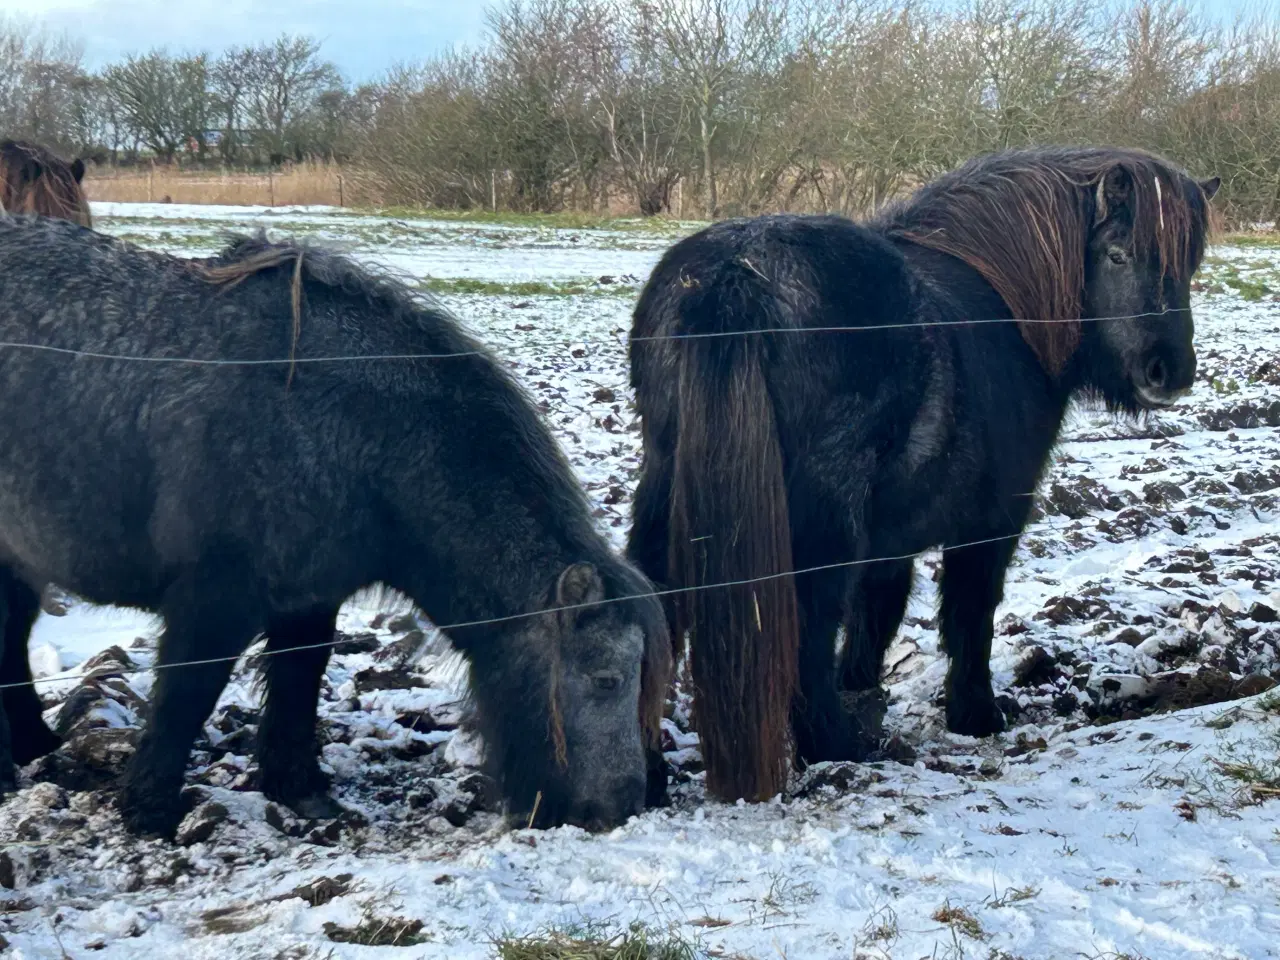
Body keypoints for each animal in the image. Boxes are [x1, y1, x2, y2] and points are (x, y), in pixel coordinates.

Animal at [0, 220, 675, 839]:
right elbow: (188, 694)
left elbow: (299, 684)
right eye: (607, 679)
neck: (357, 431)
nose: (623, 808)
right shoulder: (214, 599)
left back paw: (36, 748)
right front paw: (150, 811)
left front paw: (300, 790)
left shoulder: (308, 599)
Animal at [629, 144, 1218, 803]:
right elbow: (970, 614)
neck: (1007, 308)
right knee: (806, 630)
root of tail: (736, 274)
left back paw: (649, 776)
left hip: (666, 493)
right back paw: (838, 748)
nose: (1170, 371)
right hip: (820, 524)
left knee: (653, 609)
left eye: (1189, 265)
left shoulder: (890, 542)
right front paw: (977, 714)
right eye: (1119, 254)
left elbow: (875, 620)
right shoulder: (992, 523)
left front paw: (867, 692)